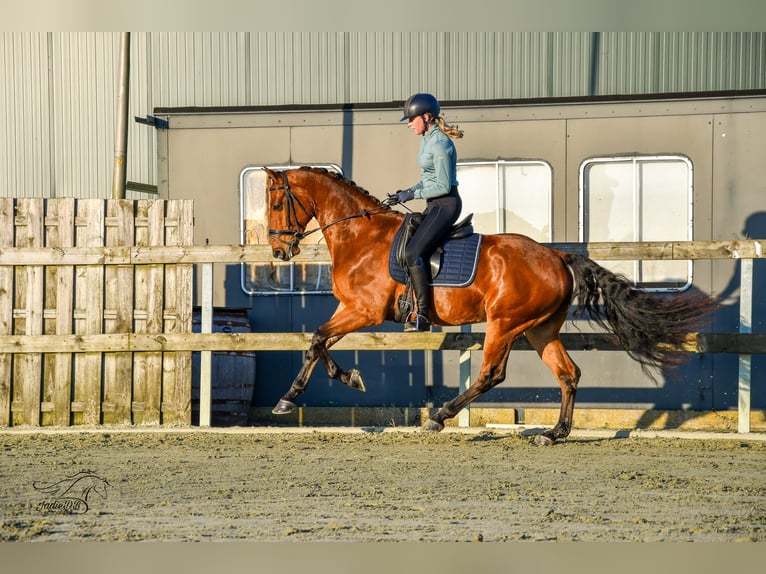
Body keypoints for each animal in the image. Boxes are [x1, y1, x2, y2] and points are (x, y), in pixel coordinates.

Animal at [264, 166, 712, 446]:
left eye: (276, 203)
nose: (280, 252)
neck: (361, 235)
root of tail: (556, 256)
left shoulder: (365, 311)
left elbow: (316, 339)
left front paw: (297, 395)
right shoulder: (352, 310)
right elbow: (318, 343)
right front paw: (329, 383)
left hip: (505, 323)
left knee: (492, 374)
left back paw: (440, 416)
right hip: (539, 329)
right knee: (568, 374)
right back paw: (554, 433)